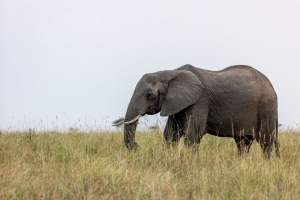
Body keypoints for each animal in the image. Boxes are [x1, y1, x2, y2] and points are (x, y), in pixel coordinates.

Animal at [113, 65, 280, 159]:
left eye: (149, 95)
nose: (136, 146)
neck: (170, 73)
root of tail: (272, 86)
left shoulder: (200, 100)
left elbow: (192, 134)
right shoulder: (176, 103)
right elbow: (170, 134)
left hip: (266, 107)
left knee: (265, 141)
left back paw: (266, 164)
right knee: (243, 143)